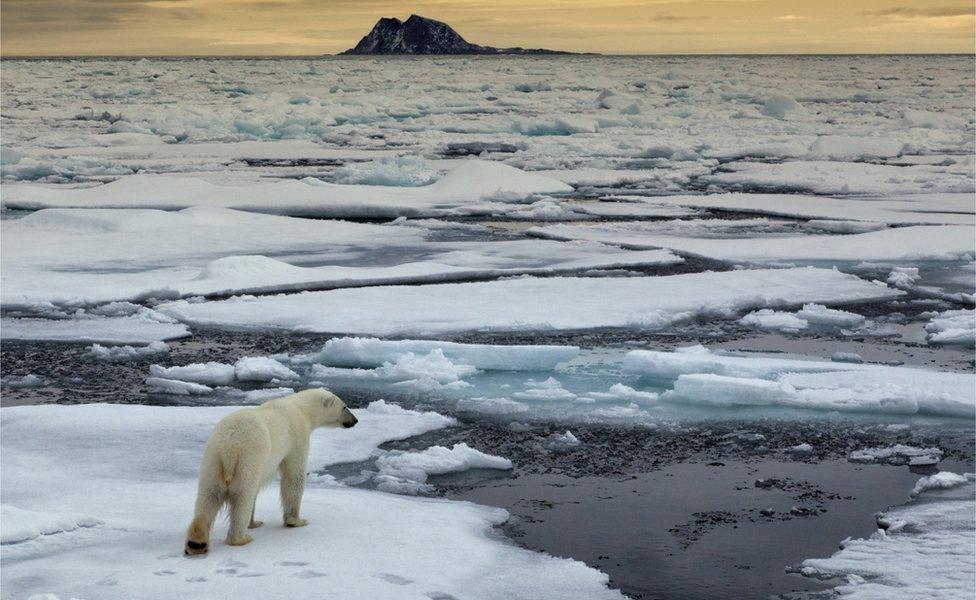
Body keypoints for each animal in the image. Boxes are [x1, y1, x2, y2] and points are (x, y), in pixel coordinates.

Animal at [185, 386, 356, 556]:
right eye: (345, 406)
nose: (355, 420)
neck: (301, 408)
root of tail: (229, 449)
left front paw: (254, 522)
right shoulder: (297, 437)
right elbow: (294, 478)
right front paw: (297, 521)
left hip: (212, 462)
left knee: (208, 498)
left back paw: (196, 543)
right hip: (247, 461)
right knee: (242, 499)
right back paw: (241, 538)